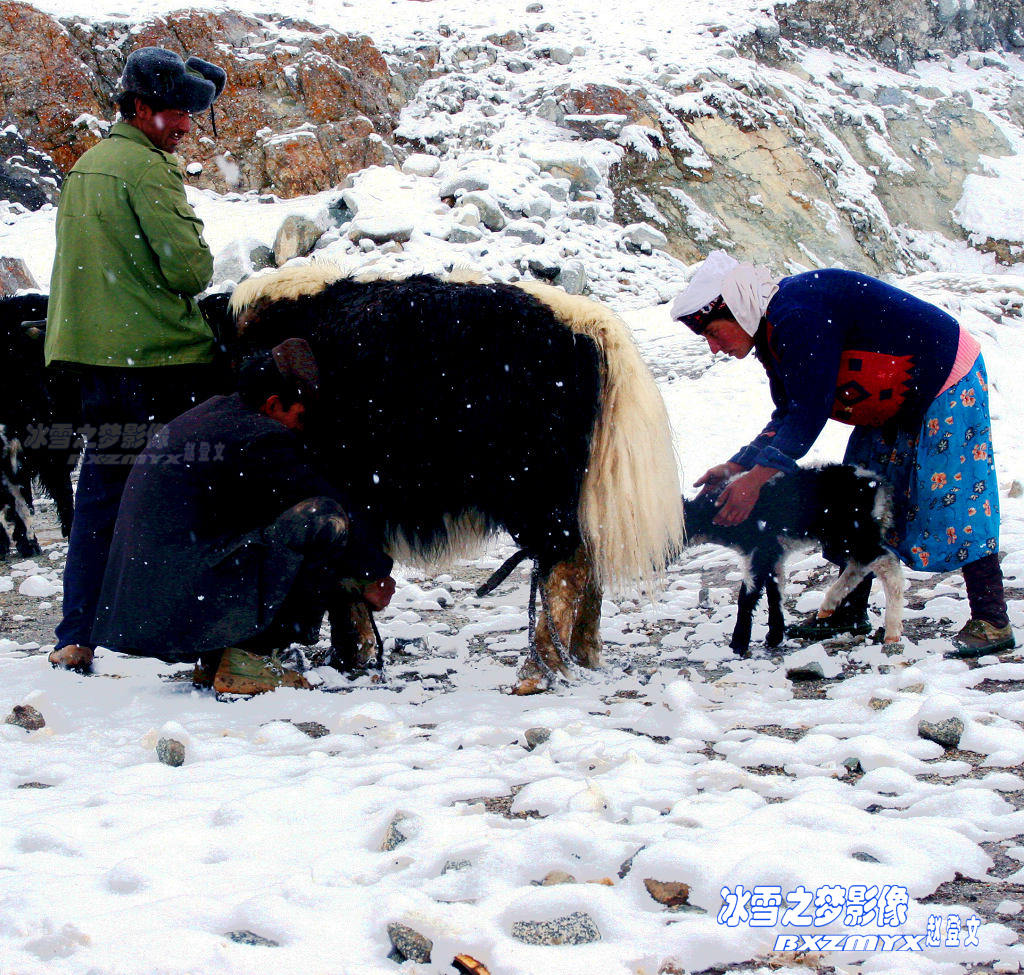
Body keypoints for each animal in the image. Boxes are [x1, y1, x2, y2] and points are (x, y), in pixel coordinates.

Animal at [684, 464, 909, 655]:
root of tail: (878, 484)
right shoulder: (774, 552)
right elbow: (774, 591)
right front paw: (774, 636)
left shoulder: (761, 547)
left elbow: (747, 595)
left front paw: (738, 643)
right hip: (846, 536)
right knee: (861, 564)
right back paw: (829, 604)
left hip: (852, 531)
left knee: (887, 564)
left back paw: (892, 631)